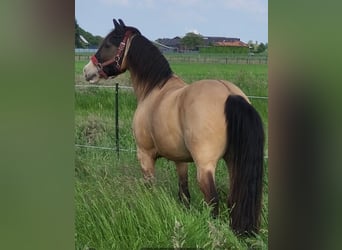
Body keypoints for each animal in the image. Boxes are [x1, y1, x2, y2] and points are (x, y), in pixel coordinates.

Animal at [82, 19, 264, 234]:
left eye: (108, 44)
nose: (86, 71)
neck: (154, 89)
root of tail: (229, 94)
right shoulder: (180, 160)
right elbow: (184, 193)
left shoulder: (144, 156)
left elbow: (150, 189)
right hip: (232, 163)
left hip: (205, 167)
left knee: (213, 202)